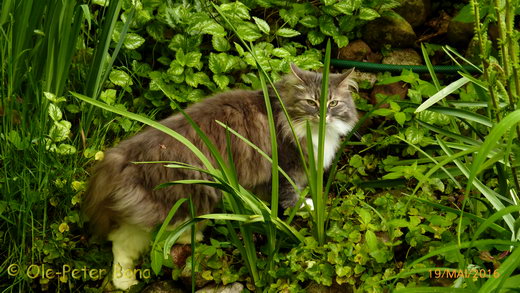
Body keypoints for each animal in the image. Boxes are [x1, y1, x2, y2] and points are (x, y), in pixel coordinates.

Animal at [83, 62, 358, 288]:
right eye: (311, 103)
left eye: (333, 103)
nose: (323, 115)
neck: (282, 114)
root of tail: (121, 156)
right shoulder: (286, 168)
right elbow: (292, 197)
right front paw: (308, 206)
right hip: (178, 200)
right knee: (125, 240)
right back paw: (131, 276)